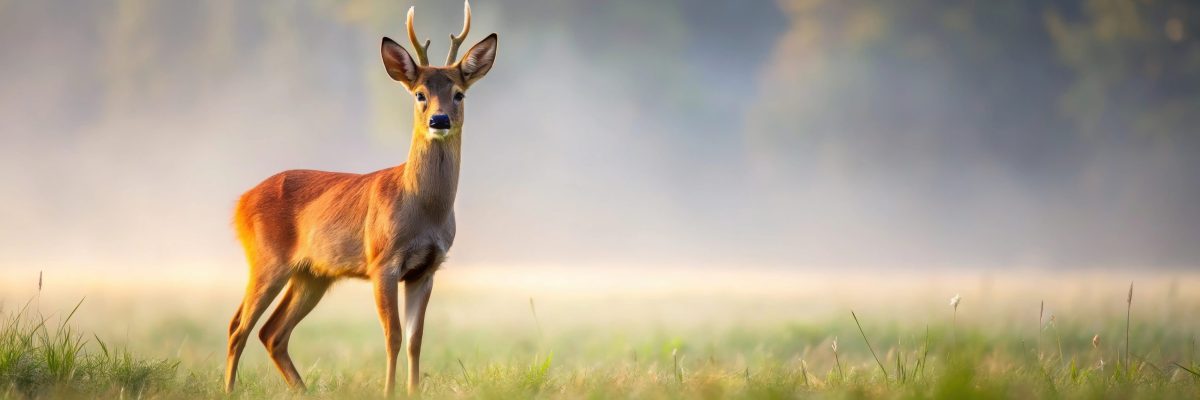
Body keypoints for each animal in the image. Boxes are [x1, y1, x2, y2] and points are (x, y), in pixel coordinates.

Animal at [222, 1, 496, 393]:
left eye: (459, 93)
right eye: (420, 94)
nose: (439, 120)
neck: (423, 209)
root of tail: (240, 202)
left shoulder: (427, 269)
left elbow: (415, 340)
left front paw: (413, 391)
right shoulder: (382, 260)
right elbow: (392, 336)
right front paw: (390, 392)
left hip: (312, 274)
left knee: (272, 332)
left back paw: (303, 391)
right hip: (265, 259)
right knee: (238, 327)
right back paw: (230, 389)